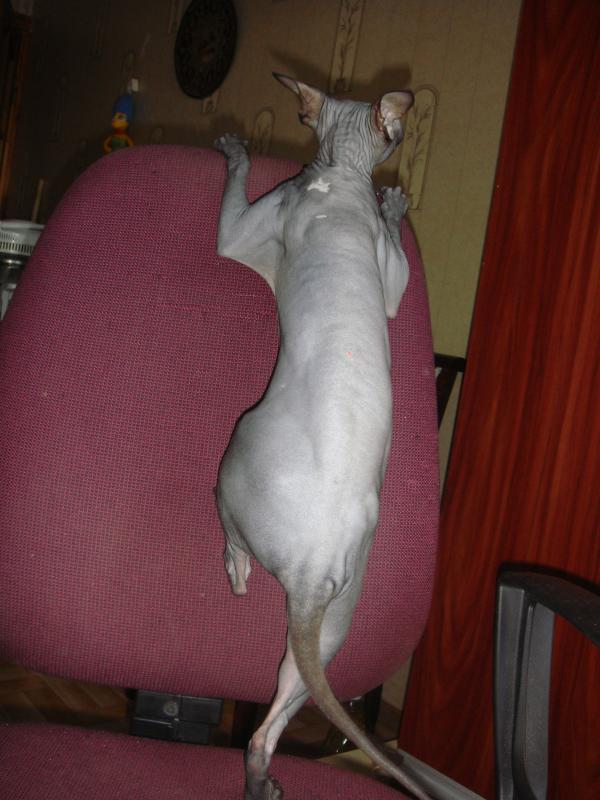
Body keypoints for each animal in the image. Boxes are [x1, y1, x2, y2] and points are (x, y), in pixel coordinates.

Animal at [215, 73, 430, 800]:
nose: (392, 192)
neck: (339, 172)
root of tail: (309, 572)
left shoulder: (252, 226)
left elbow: (232, 219)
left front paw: (235, 149)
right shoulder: (390, 280)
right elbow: (396, 277)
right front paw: (395, 205)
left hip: (238, 454)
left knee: (230, 528)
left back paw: (236, 568)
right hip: (335, 622)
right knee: (277, 708)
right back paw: (259, 775)